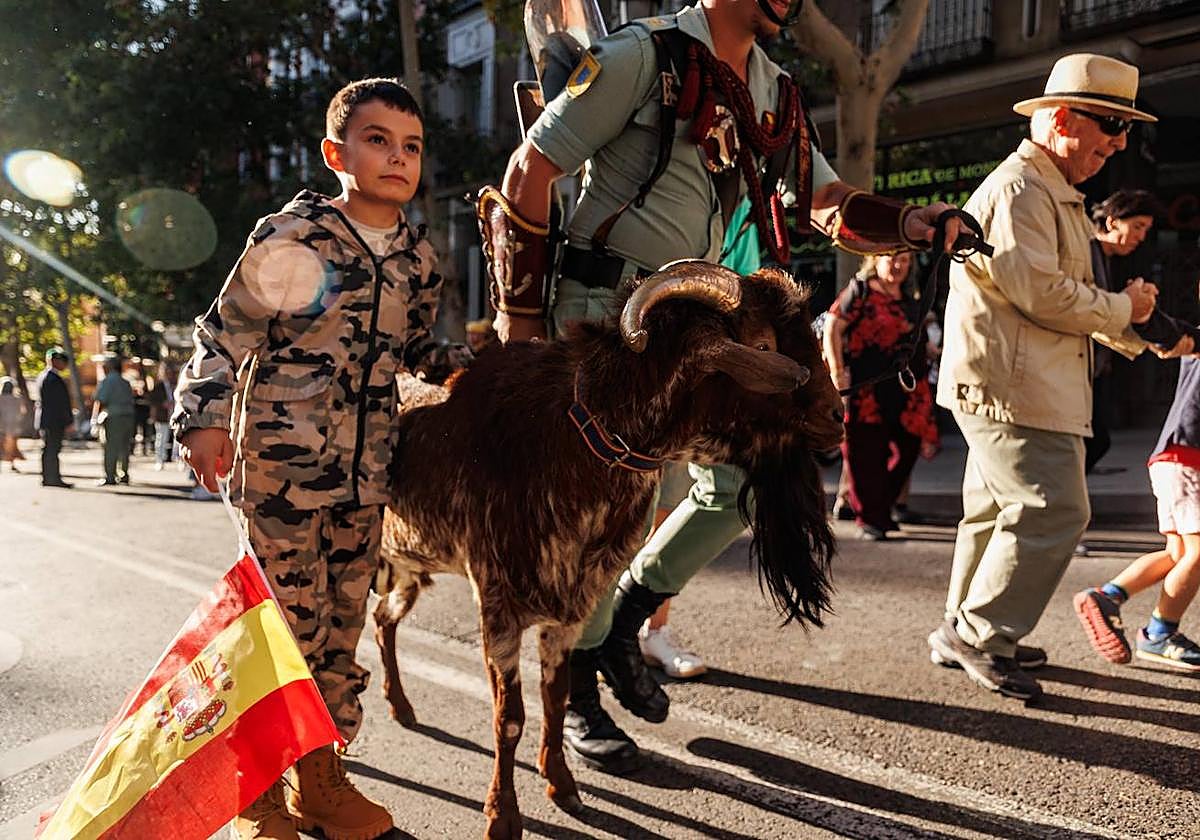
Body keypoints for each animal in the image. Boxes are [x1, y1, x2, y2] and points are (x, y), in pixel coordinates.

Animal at [375, 261, 844, 839]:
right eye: (762, 343)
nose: (839, 414)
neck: (577, 436)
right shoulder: (498, 608)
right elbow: (510, 718)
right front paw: (502, 816)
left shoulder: (566, 614)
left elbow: (553, 703)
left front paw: (562, 787)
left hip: (406, 568)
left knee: (383, 620)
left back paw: (400, 708)